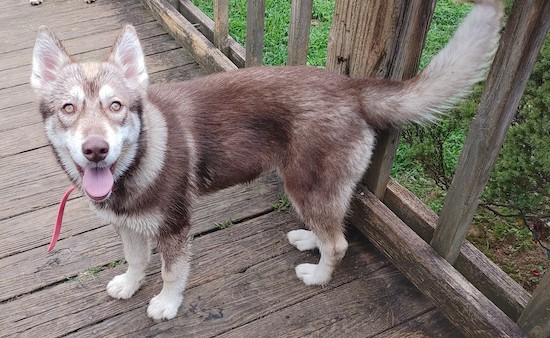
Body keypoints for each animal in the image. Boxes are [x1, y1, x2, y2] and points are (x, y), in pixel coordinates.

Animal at [31, 0, 504, 320]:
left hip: (305, 185)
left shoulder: (175, 229)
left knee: (339, 242)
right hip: (319, 190)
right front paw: (129, 285)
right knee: (334, 226)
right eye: (68, 109)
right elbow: (134, 260)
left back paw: (318, 273)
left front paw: (165, 303)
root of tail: (353, 88)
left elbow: (169, 273)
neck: (137, 162)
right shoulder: (129, 226)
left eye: (116, 106)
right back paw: (309, 240)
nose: (96, 149)